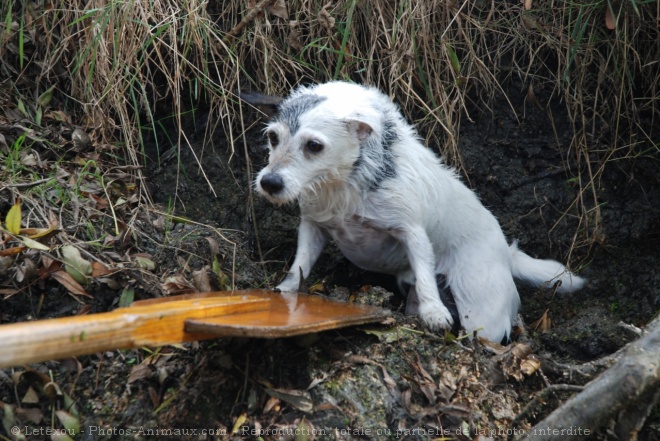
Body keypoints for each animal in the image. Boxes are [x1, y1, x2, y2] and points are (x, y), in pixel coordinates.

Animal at [245, 83, 584, 344]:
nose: (270, 183)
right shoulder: (313, 227)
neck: (344, 182)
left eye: (314, 145)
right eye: (273, 137)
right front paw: (284, 291)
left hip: (482, 312)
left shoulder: (412, 232)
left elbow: (424, 274)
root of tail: (507, 253)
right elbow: (299, 265)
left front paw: (434, 312)